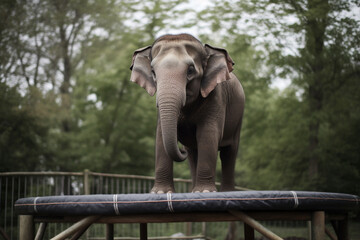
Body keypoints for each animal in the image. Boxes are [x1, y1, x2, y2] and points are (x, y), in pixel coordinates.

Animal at [129, 34, 245, 193]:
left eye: (190, 70)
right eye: (152, 71)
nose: (181, 150)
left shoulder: (216, 98)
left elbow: (208, 134)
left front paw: (205, 192)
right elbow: (160, 136)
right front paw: (160, 192)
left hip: (238, 117)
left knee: (229, 152)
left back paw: (225, 192)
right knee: (193, 153)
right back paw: (193, 190)